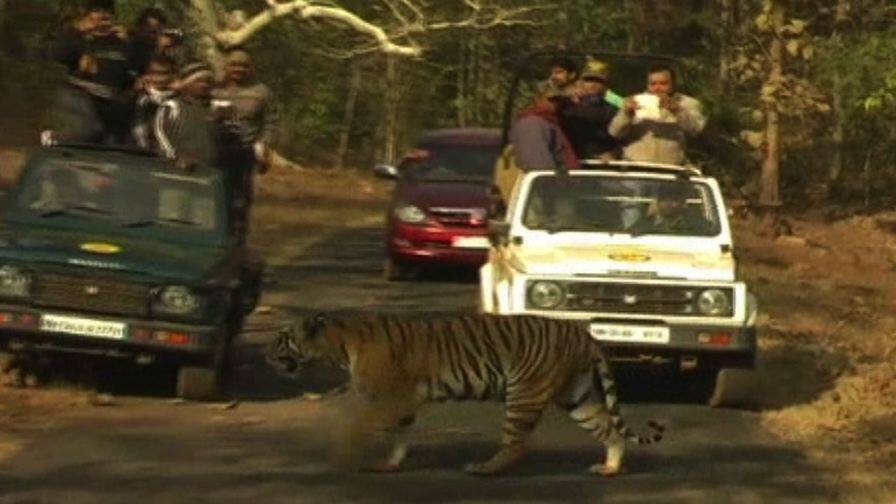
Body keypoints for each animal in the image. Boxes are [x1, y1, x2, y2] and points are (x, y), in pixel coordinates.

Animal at [267, 312, 664, 476]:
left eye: (282, 338)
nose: (266, 355)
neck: (338, 345)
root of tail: (584, 334)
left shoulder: (389, 398)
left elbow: (357, 425)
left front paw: (340, 456)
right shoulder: (401, 404)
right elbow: (398, 436)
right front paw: (389, 464)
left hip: (523, 392)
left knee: (515, 443)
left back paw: (483, 469)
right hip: (576, 396)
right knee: (608, 429)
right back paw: (610, 468)